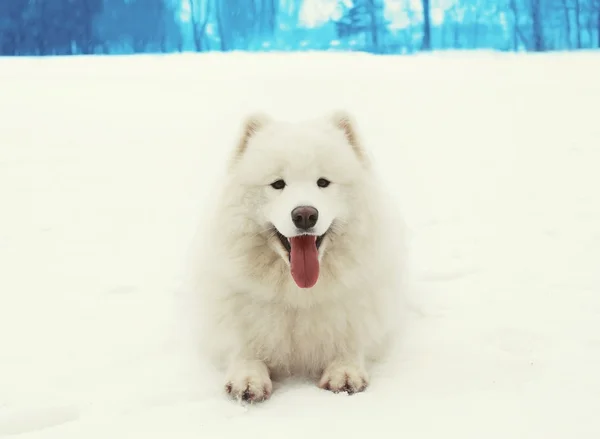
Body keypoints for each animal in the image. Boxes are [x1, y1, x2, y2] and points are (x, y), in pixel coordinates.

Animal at [195, 110, 406, 402]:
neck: (299, 295)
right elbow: (244, 348)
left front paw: (344, 371)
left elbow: (351, 341)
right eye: (277, 184)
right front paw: (247, 379)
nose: (305, 215)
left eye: (323, 183)